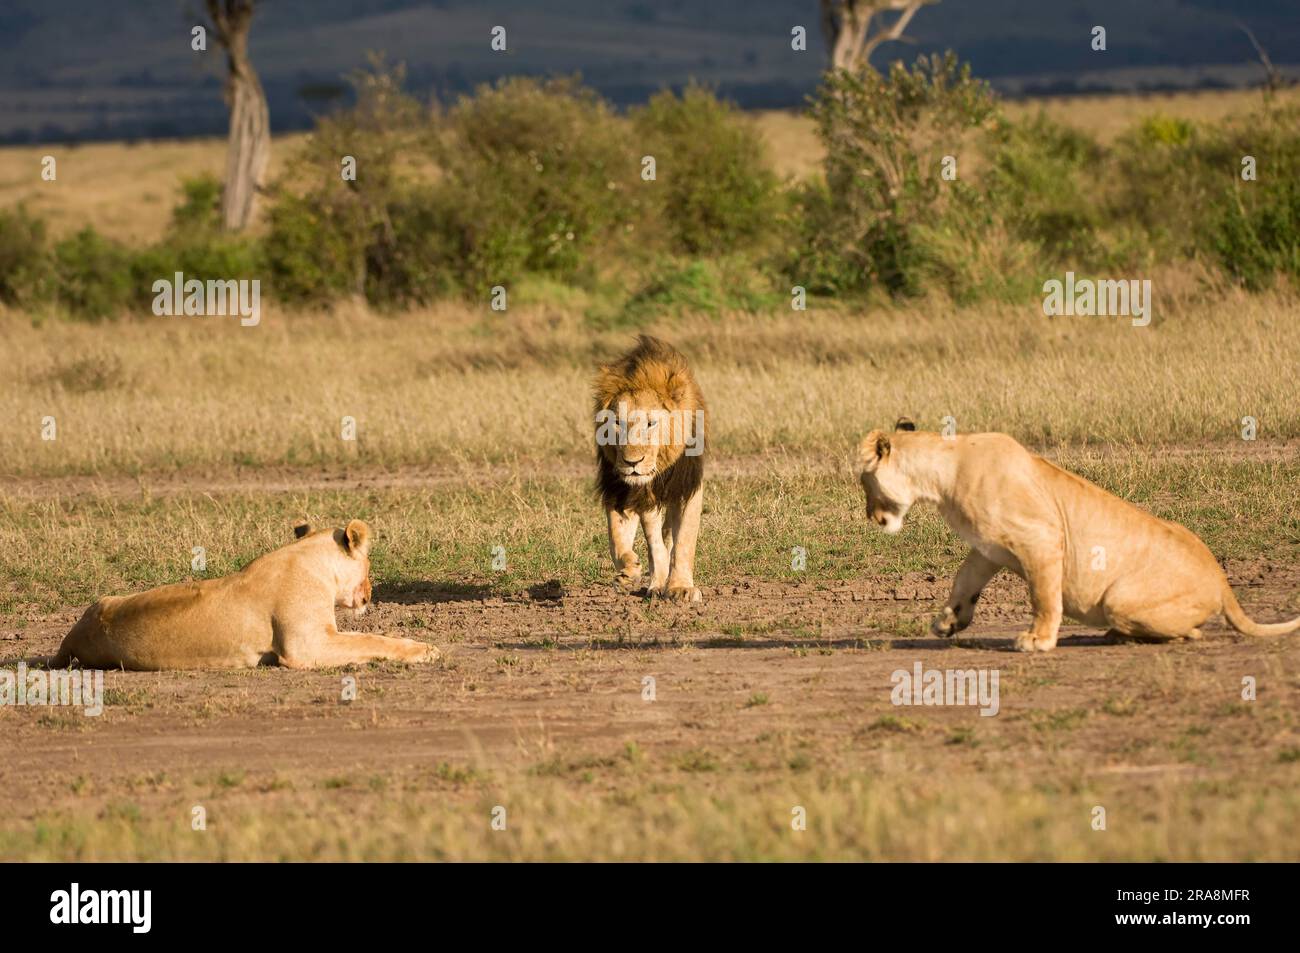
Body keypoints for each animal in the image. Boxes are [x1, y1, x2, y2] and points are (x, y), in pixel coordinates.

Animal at [45, 520, 439, 670]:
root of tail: (71, 638)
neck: (306, 556)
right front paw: (425, 650)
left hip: (103, 600)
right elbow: (370, 640)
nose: (371, 592)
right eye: (369, 565)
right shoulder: (305, 645)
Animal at [593, 335, 707, 602]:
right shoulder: (625, 490)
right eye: (617, 422)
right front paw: (628, 572)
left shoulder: (688, 485)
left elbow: (684, 539)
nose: (632, 462)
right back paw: (653, 582)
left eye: (651, 423)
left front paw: (681, 588)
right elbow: (621, 536)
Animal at [857, 419, 1300, 652]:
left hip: (1120, 599)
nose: (871, 518)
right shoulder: (987, 550)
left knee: (1189, 630)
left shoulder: (1041, 538)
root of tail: (1223, 580)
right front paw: (948, 623)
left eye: (864, 483)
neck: (940, 475)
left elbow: (1043, 597)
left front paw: (1037, 640)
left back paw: (1127, 635)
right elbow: (962, 584)